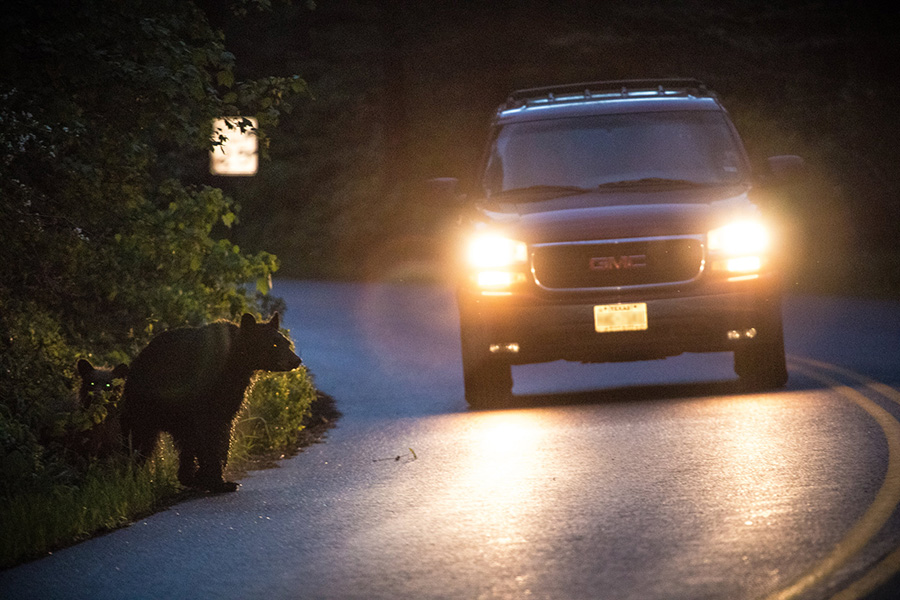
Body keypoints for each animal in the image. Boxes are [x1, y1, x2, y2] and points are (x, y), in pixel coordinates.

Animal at [121, 314, 302, 492]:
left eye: (286, 343)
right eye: (274, 344)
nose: (296, 360)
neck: (235, 362)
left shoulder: (231, 393)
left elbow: (224, 429)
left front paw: (212, 477)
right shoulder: (205, 395)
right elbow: (209, 432)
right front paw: (218, 481)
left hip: (177, 418)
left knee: (184, 443)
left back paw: (189, 477)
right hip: (144, 405)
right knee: (139, 439)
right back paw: (132, 478)